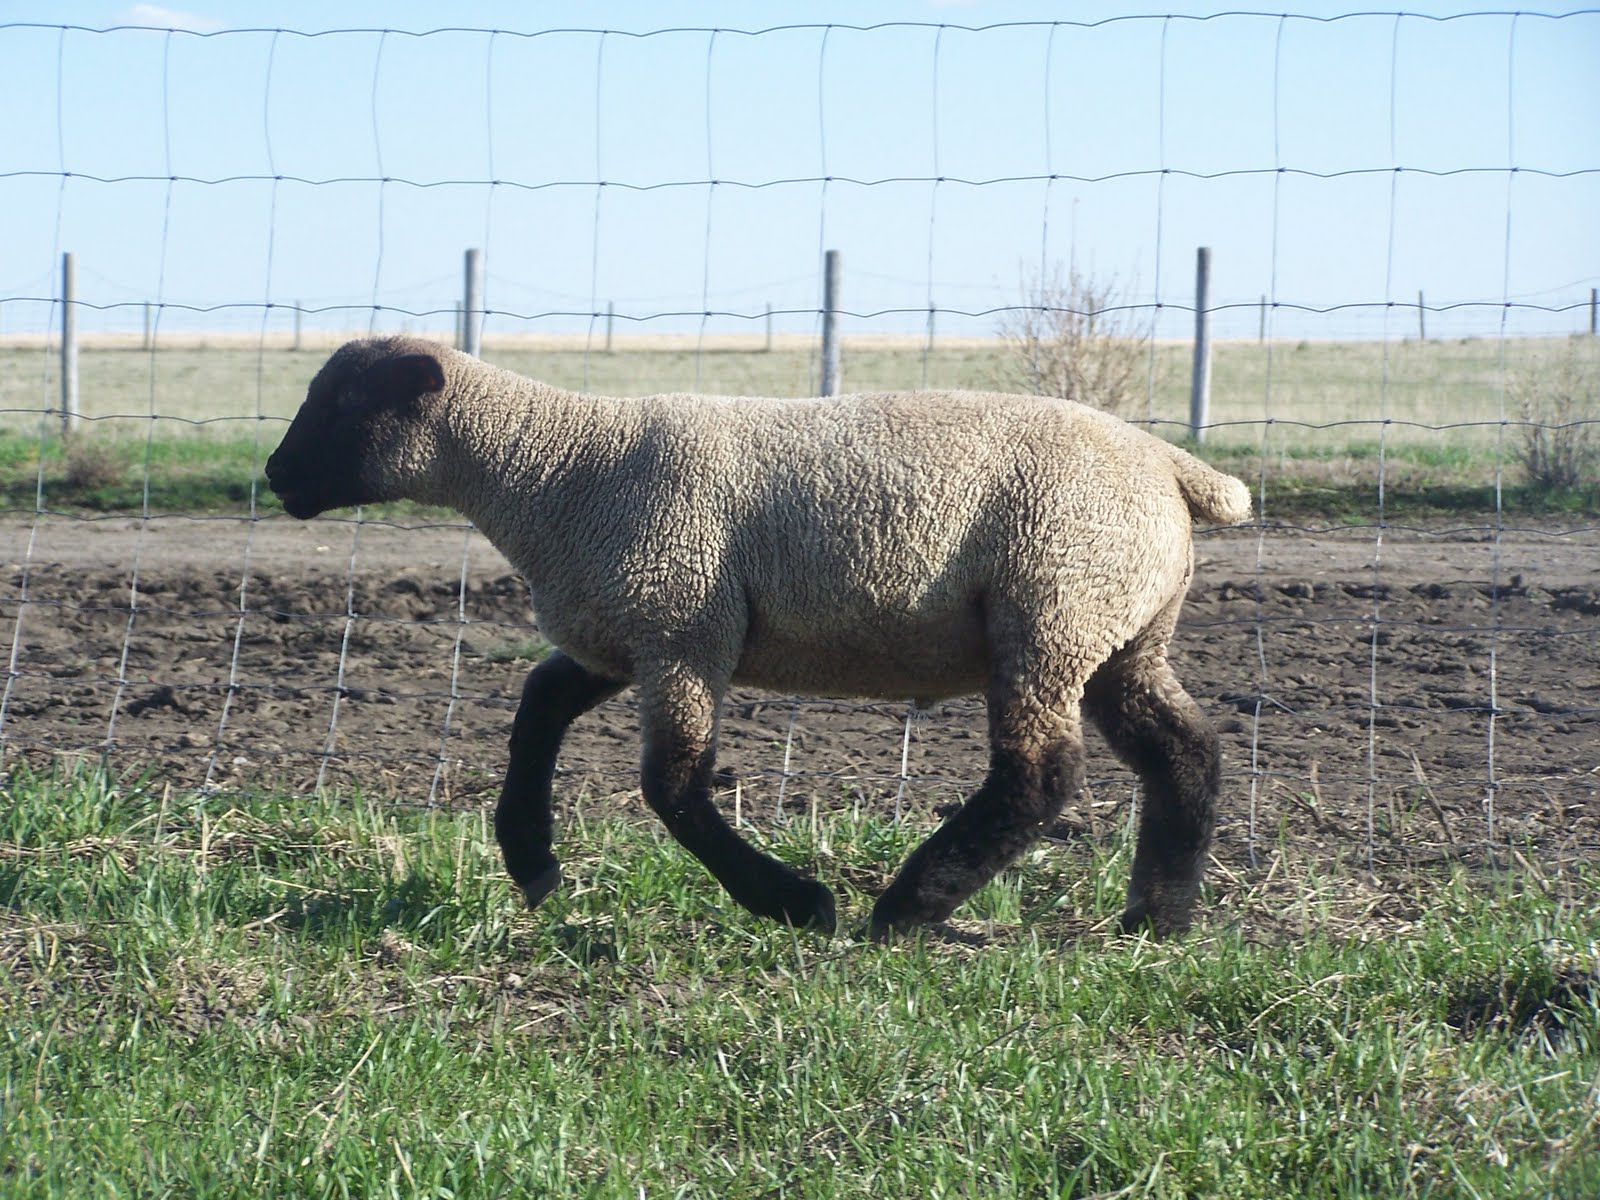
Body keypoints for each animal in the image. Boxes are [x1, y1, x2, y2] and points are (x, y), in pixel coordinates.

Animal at [265, 336, 1252, 940]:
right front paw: (532, 861)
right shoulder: (626, 631)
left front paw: (794, 902)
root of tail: (1173, 467)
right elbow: (537, 709)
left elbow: (671, 786)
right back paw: (1157, 918)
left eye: (342, 403)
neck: (558, 471)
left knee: (1041, 775)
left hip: (1051, 611)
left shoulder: (682, 624)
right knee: (1185, 750)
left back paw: (906, 909)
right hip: (1120, 631)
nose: (273, 475)